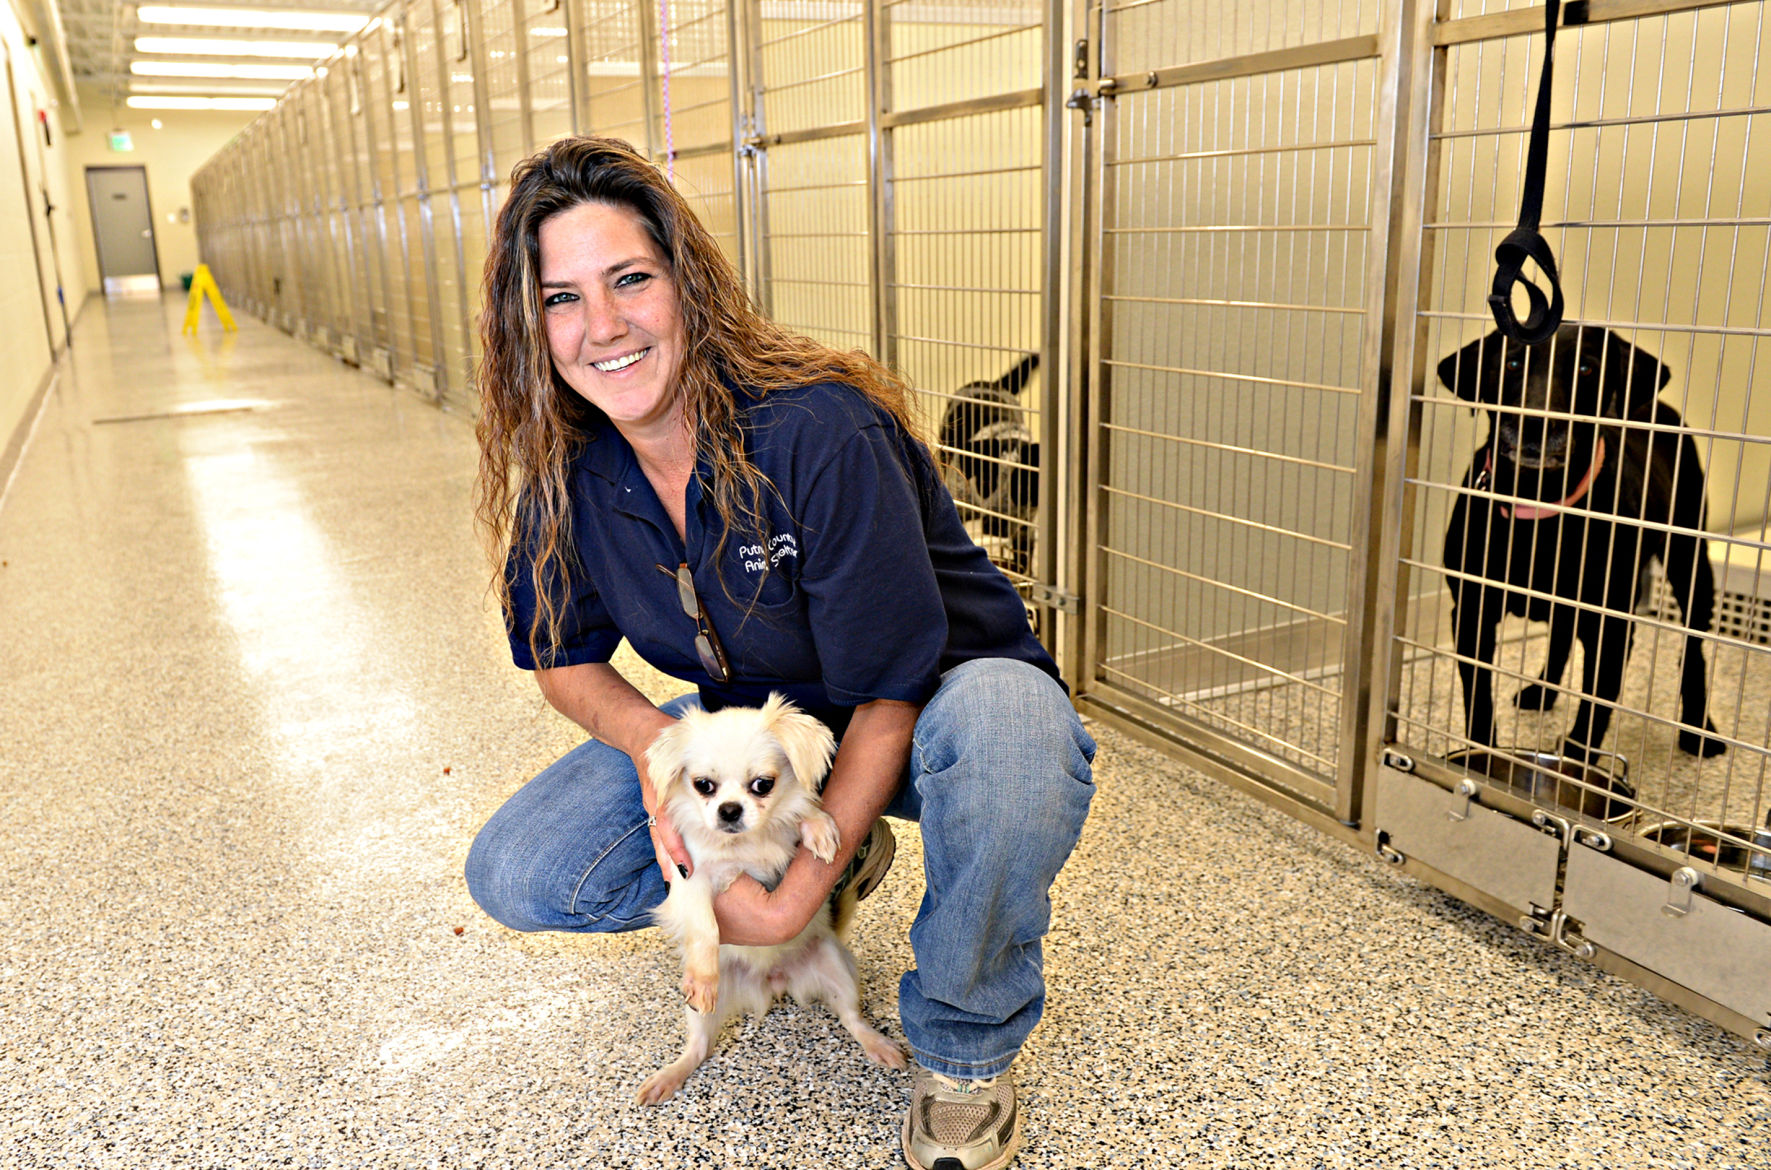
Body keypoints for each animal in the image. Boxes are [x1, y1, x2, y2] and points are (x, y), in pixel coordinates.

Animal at [637, 693, 906, 1104]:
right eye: (703, 785)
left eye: (763, 785)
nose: (729, 810)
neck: (746, 844)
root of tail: (773, 981)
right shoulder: (689, 877)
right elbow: (704, 925)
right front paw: (703, 976)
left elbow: (799, 813)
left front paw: (818, 828)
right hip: (699, 1011)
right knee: (698, 1047)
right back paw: (670, 1075)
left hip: (839, 969)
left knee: (851, 1017)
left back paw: (878, 1043)